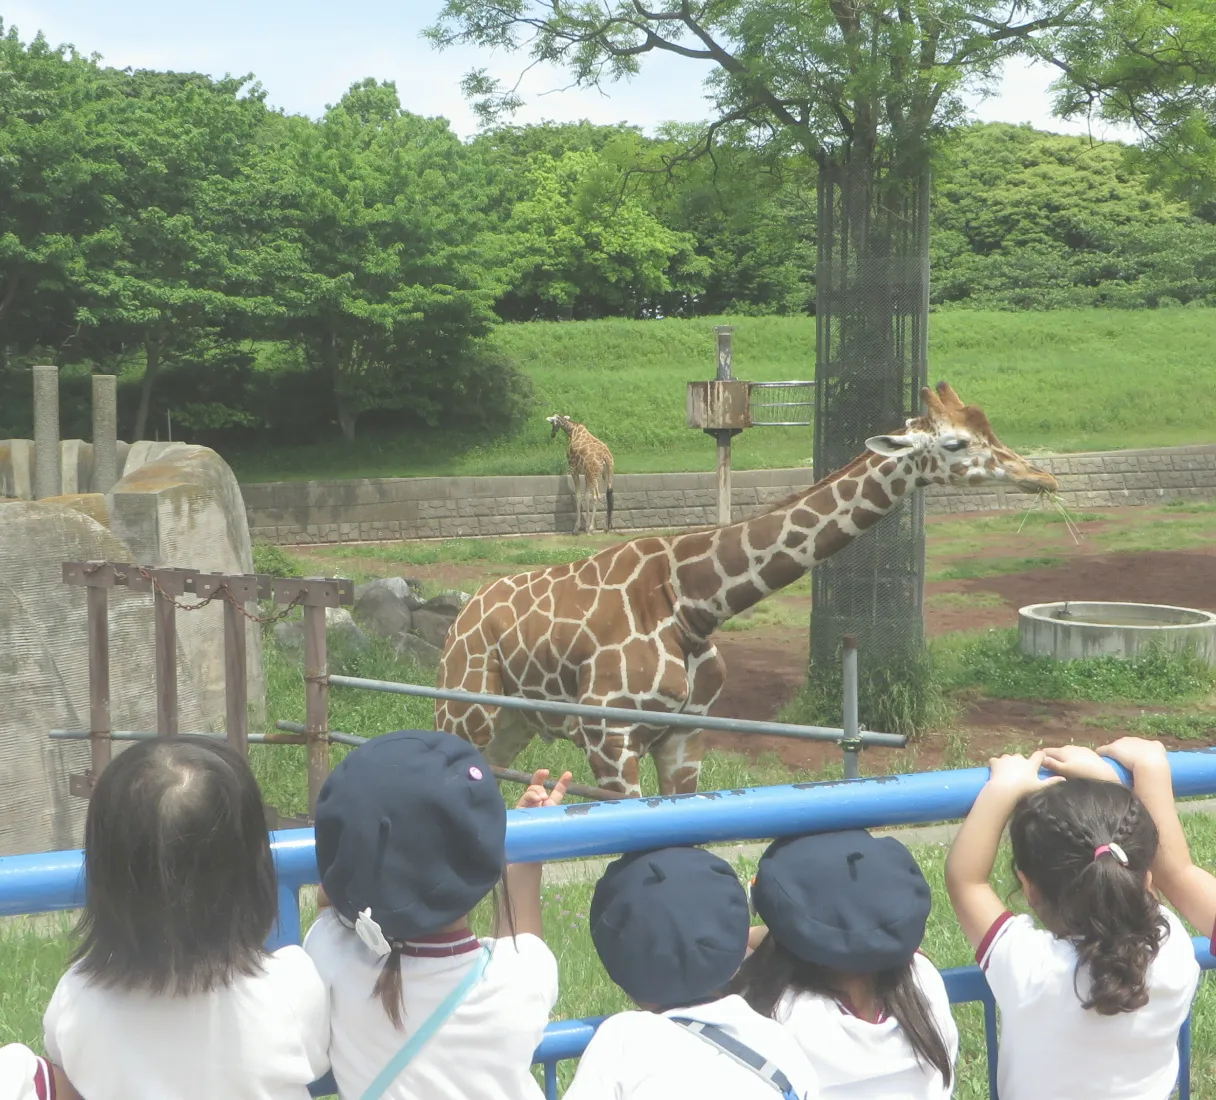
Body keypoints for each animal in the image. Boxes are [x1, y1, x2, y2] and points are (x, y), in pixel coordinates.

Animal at [442, 386, 1060, 797]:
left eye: (991, 430)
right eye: (956, 443)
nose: (1043, 477)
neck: (692, 602)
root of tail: (463, 616)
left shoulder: (685, 736)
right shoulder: (608, 736)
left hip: (512, 723)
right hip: (463, 710)